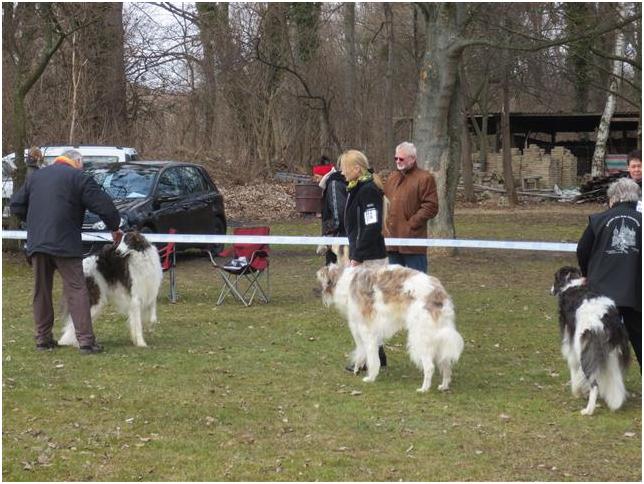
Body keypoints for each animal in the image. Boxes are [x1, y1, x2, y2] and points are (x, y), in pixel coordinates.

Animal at [317, 263, 464, 392]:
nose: (316, 291)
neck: (346, 282)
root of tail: (437, 292)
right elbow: (361, 351)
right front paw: (357, 368)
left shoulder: (366, 329)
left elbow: (370, 355)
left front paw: (370, 377)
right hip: (439, 336)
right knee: (445, 363)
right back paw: (444, 386)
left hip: (420, 337)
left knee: (430, 367)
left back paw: (424, 388)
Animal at [551, 266, 630, 415]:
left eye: (555, 277)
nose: (551, 290)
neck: (572, 284)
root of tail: (606, 318)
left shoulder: (571, 343)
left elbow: (573, 365)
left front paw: (576, 390)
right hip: (612, 353)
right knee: (615, 378)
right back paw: (614, 401)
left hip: (587, 350)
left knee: (594, 384)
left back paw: (588, 409)